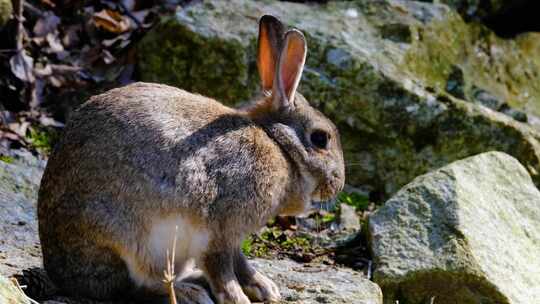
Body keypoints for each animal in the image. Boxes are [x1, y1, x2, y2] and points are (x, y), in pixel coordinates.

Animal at [39, 14, 346, 304]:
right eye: (320, 138)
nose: (338, 184)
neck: (277, 144)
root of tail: (61, 271)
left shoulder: (234, 237)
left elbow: (240, 262)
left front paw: (266, 289)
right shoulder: (220, 228)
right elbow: (222, 268)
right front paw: (238, 299)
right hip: (131, 240)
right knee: (138, 285)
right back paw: (191, 293)